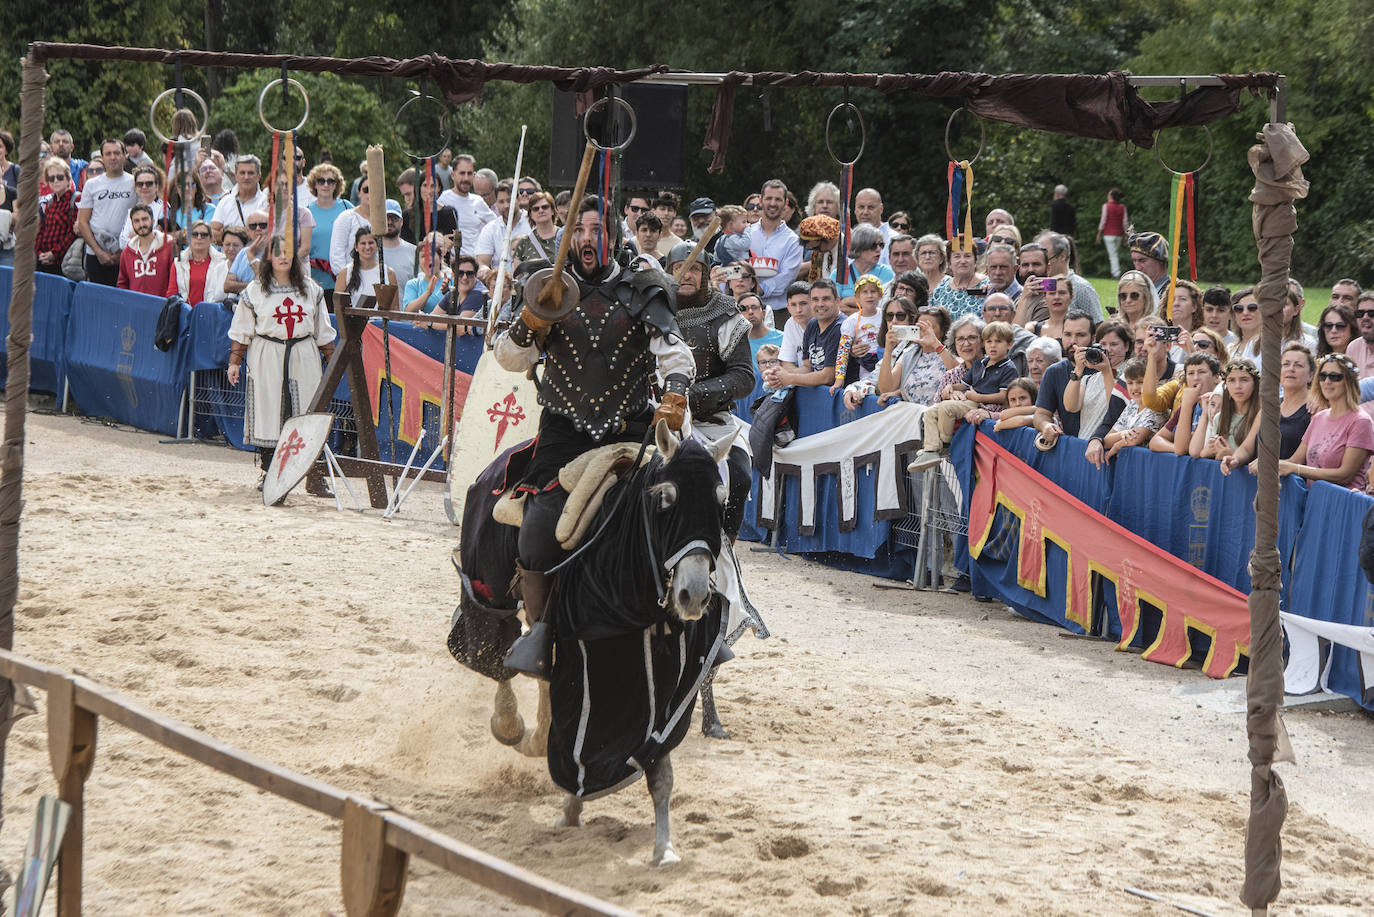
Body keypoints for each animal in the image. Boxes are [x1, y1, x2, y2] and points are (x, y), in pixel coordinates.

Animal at [447, 423, 730, 868]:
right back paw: (511, 725)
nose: (694, 595)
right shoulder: (586, 662)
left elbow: (660, 768)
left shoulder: (666, 688)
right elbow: (579, 731)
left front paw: (664, 847)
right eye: (666, 497)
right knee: (494, 649)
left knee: (537, 670)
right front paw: (571, 806)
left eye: (722, 501)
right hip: (488, 586)